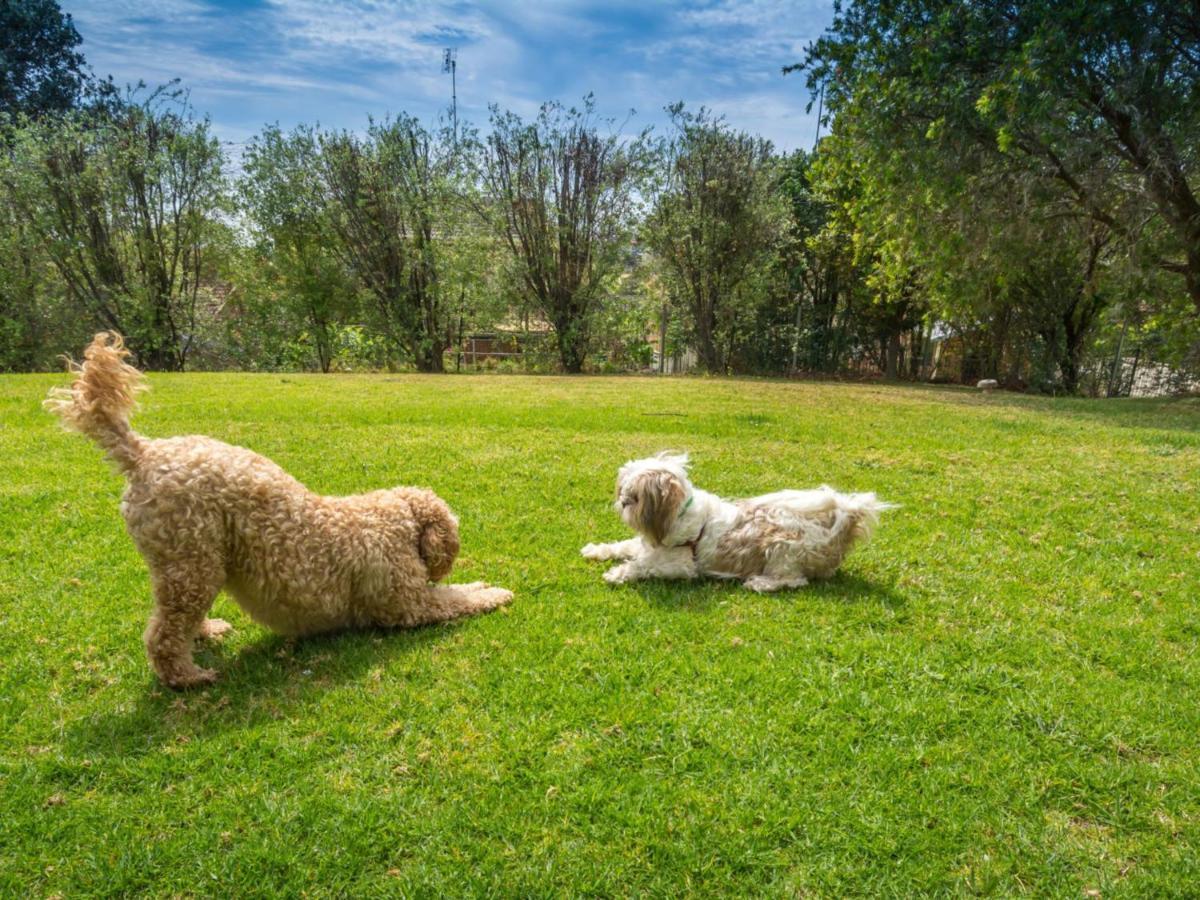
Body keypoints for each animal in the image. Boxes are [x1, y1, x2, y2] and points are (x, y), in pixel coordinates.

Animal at [48, 336, 511, 686]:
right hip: (193, 562)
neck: (395, 518)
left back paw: (205, 634)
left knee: (176, 617)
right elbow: (456, 600)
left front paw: (479, 584)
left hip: (190, 566)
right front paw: (494, 594)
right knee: (164, 634)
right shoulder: (410, 606)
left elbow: (458, 591)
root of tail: (143, 452)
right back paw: (188, 677)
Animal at [580, 453, 892, 595]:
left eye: (634, 499)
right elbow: (623, 546)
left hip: (783, 548)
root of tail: (841, 524)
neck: (678, 517)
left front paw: (618, 573)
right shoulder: (648, 545)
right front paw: (597, 550)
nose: (622, 501)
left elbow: (643, 566)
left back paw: (760, 583)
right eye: (623, 492)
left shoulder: (681, 566)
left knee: (795, 580)